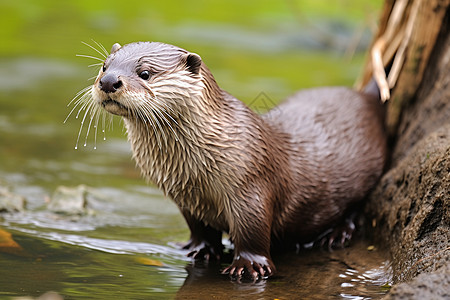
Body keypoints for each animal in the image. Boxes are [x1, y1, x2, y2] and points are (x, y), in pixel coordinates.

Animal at [74, 41, 386, 278]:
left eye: (145, 72)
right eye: (105, 66)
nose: (108, 81)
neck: (196, 170)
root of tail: (365, 98)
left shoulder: (250, 186)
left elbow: (253, 232)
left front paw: (248, 266)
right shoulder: (185, 198)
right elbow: (199, 228)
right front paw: (198, 250)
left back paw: (336, 234)